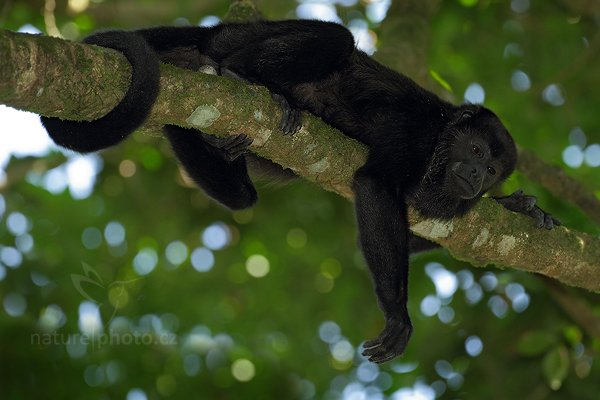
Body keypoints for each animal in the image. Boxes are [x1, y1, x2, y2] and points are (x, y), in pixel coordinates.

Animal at [41, 21, 556, 366]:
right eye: (475, 150)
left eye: (492, 169)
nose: (476, 175)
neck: (440, 143)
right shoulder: (415, 133)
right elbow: (374, 184)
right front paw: (398, 314)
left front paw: (519, 206)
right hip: (239, 36)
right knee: (335, 39)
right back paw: (241, 75)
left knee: (241, 196)